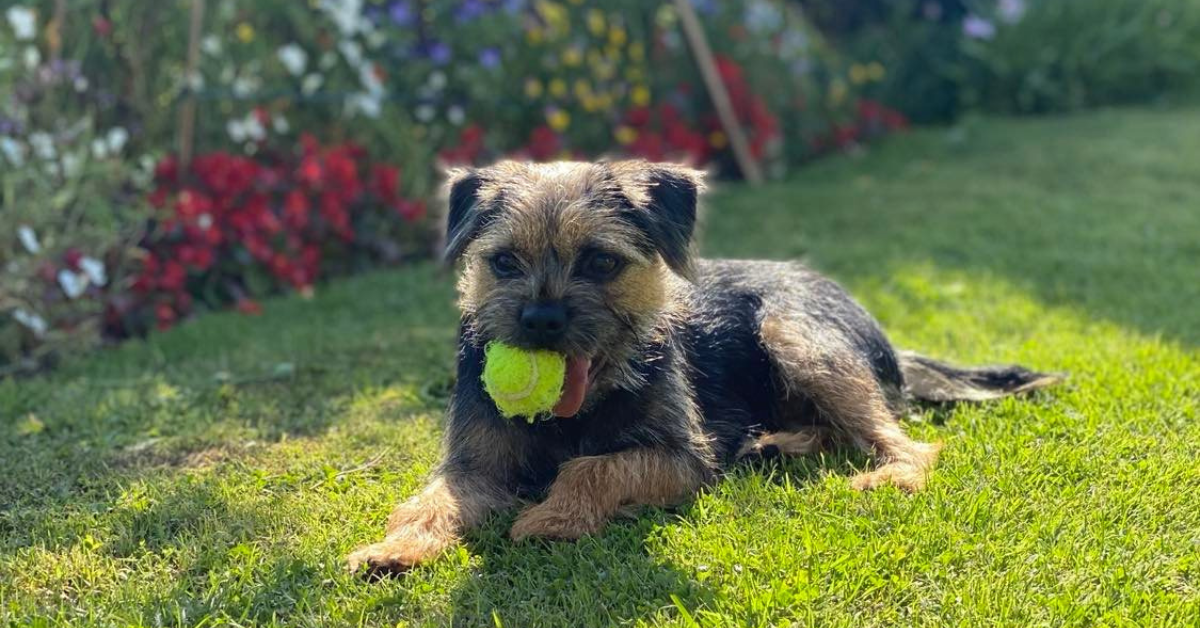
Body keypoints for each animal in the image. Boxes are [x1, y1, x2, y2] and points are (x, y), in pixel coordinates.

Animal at [348, 160, 1060, 573]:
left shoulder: (684, 457)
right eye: (503, 262)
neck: (579, 409)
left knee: (903, 439)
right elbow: (429, 501)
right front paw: (395, 547)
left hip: (795, 334)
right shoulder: (473, 465)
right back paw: (778, 442)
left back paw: (888, 474)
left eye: (601, 261)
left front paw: (554, 517)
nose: (541, 321)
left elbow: (595, 466)